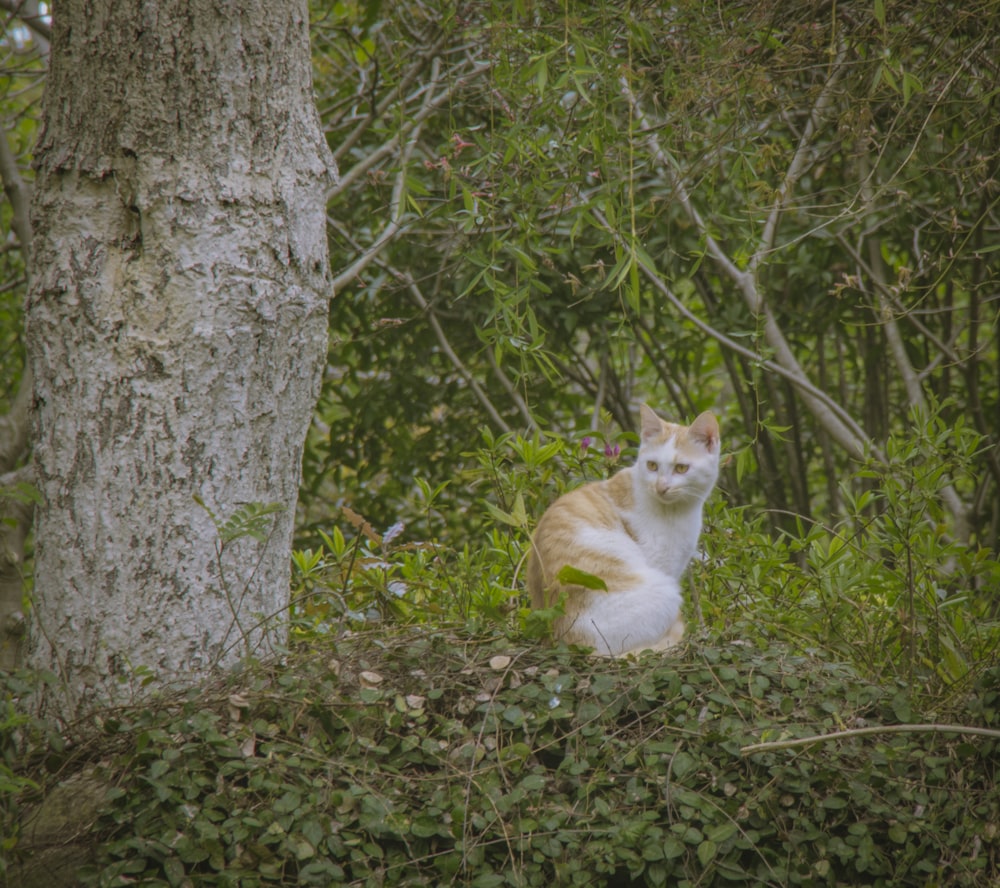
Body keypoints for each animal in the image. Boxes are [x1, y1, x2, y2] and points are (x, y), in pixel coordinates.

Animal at [524, 406, 720, 656]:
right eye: (652, 465)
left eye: (681, 468)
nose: (661, 487)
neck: (678, 511)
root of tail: (563, 638)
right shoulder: (662, 565)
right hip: (663, 593)